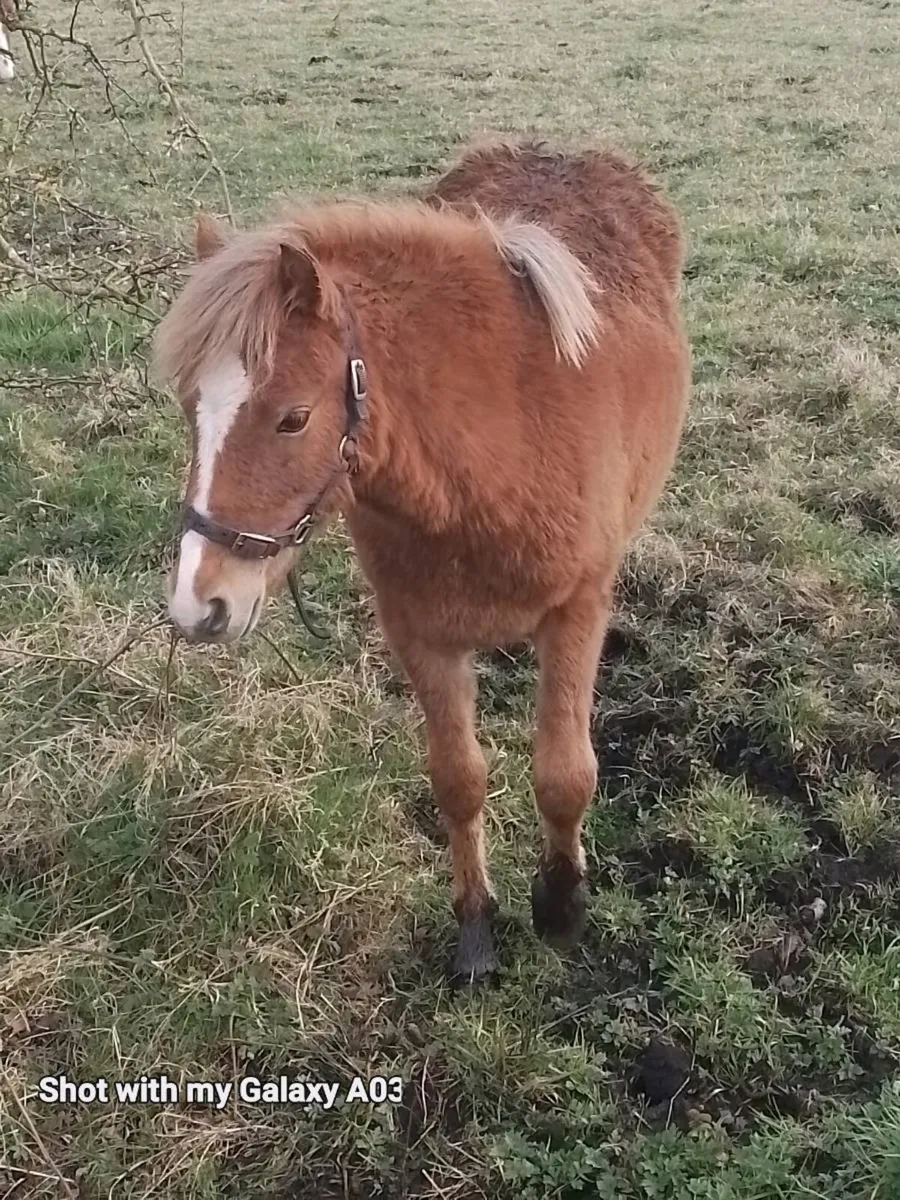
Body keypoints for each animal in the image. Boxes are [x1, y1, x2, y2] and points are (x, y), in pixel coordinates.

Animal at [156, 139, 690, 982]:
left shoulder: (575, 612)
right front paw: (476, 925)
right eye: (189, 408)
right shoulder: (420, 632)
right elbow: (457, 780)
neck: (498, 448)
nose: (197, 603)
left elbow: (564, 777)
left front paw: (560, 907)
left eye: (293, 418)